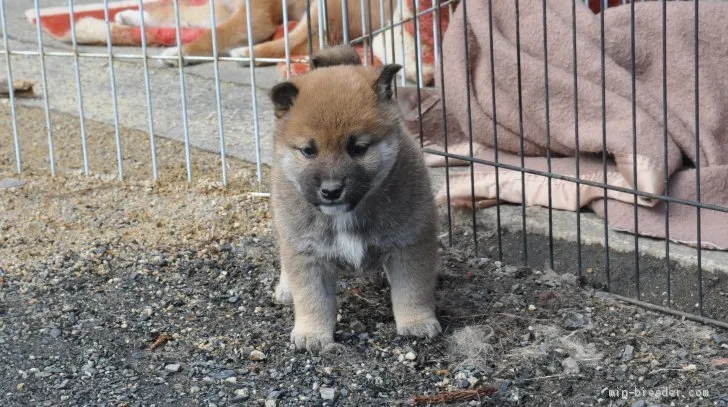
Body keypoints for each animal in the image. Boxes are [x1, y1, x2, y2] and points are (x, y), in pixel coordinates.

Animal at [266, 45, 438, 354]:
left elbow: (412, 290)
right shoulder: (308, 255)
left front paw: (417, 322)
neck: (345, 215)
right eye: (308, 151)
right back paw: (286, 288)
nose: (331, 190)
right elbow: (312, 300)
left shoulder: (410, 244)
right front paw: (312, 334)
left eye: (358, 148)